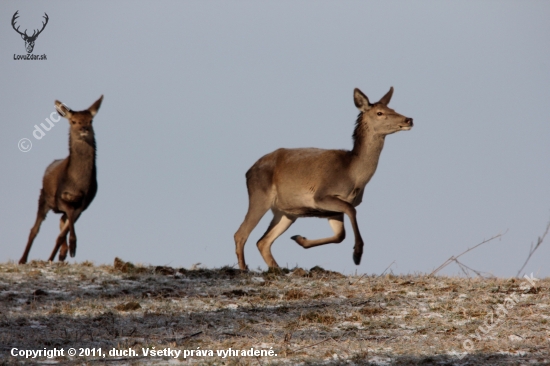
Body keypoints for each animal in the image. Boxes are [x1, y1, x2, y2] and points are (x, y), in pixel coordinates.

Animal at [20, 96, 104, 264]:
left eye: (90, 120)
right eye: (73, 121)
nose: (84, 128)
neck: (77, 184)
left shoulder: (83, 204)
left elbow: (61, 233)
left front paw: (63, 252)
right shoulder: (60, 198)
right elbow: (64, 225)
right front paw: (70, 248)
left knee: (61, 221)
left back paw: (60, 253)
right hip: (44, 197)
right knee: (34, 229)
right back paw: (22, 260)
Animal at [234, 86, 414, 268]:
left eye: (392, 108)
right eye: (379, 112)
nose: (409, 120)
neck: (354, 177)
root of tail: (248, 171)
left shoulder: (333, 211)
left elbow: (340, 235)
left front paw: (299, 239)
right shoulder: (321, 196)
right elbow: (352, 210)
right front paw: (357, 254)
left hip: (286, 212)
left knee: (263, 241)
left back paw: (277, 268)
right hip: (259, 196)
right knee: (241, 234)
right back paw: (244, 270)